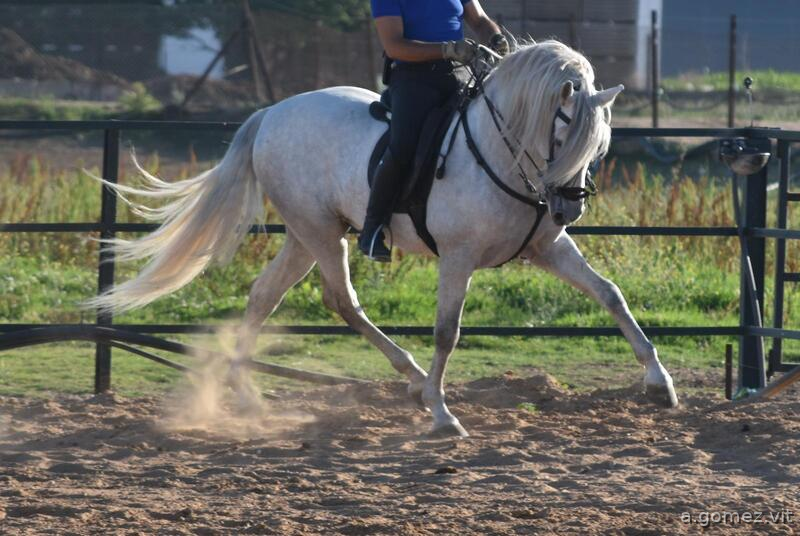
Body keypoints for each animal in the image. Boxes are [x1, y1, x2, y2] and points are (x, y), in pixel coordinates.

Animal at [86, 40, 678, 437]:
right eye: (562, 132)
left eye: (600, 143)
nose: (568, 206)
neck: (501, 148)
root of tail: (272, 112)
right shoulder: (458, 258)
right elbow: (446, 332)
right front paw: (442, 413)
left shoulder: (547, 249)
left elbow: (610, 294)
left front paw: (660, 383)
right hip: (322, 235)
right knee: (342, 301)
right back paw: (411, 381)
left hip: (306, 236)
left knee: (265, 295)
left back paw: (249, 396)